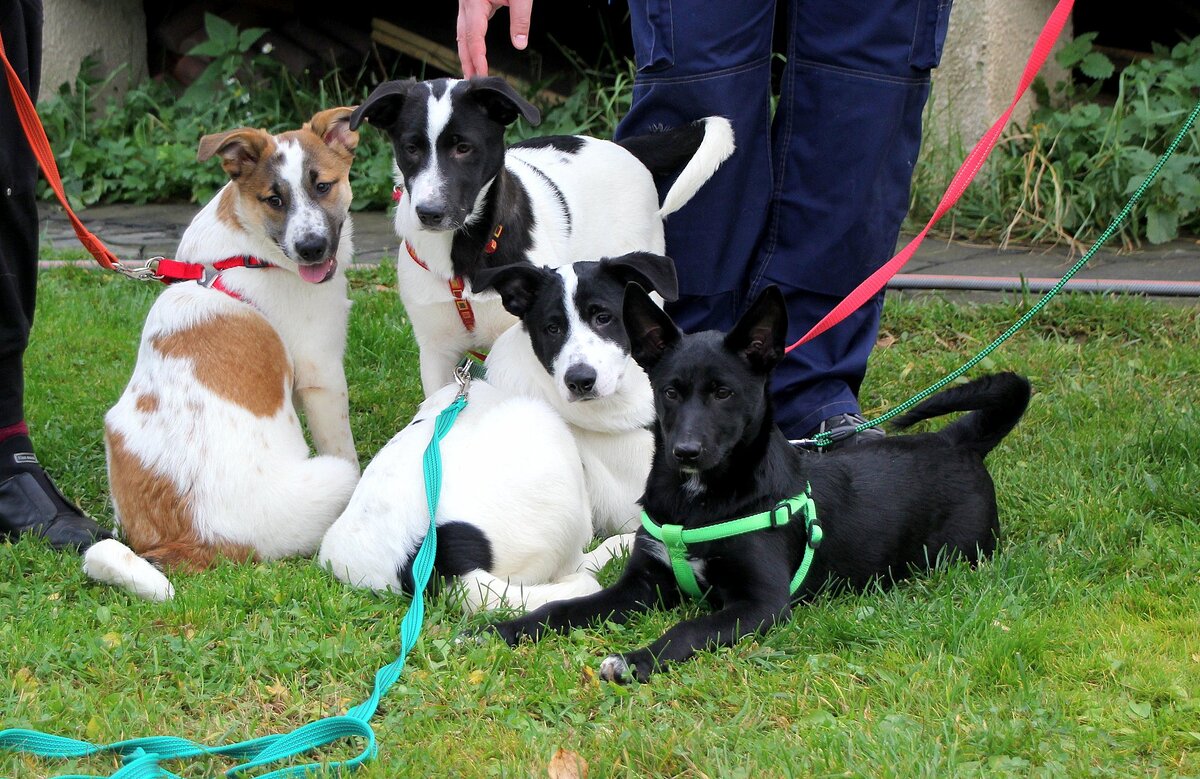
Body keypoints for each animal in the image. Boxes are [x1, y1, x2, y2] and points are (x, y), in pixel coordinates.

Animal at [81, 106, 360, 597]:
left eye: (323, 186)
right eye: (274, 199)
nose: (310, 249)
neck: (246, 252)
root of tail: (191, 540)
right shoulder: (321, 371)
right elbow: (346, 445)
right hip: (326, 480)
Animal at [316, 255, 676, 614]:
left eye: (604, 318)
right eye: (553, 328)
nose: (580, 380)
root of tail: (434, 567)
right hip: (541, 429)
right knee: (574, 567)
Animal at [484, 284, 1032, 681]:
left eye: (724, 393)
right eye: (669, 392)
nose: (686, 452)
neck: (698, 502)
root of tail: (957, 441)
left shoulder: (761, 604)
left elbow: (688, 628)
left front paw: (637, 659)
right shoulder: (640, 585)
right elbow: (565, 607)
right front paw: (505, 629)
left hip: (960, 553)